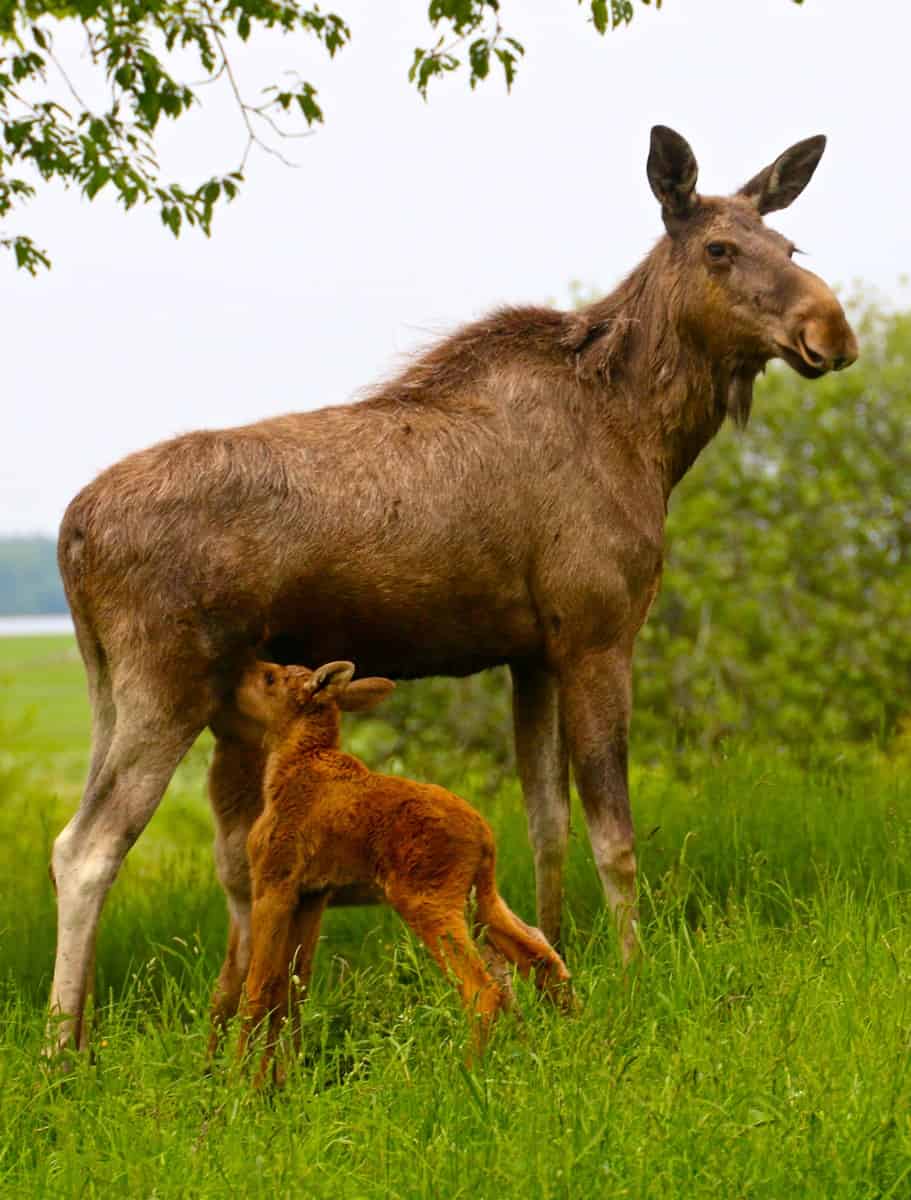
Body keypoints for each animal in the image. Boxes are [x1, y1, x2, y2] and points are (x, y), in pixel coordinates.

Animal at [223, 662, 571, 1084]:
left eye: (271, 678)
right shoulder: (312, 893)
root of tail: (485, 837)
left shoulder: (272, 881)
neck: (286, 767)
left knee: (482, 989)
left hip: (426, 899)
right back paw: (571, 1038)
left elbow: (257, 990)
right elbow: (290, 990)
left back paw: (466, 1075)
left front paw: (236, 1086)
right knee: (543, 957)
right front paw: (277, 1084)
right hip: (482, 896)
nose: (241, 671)